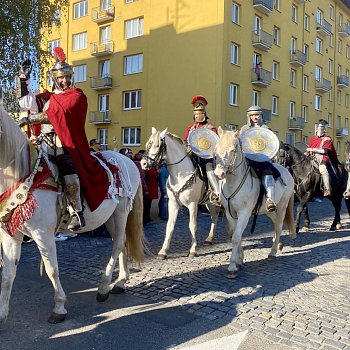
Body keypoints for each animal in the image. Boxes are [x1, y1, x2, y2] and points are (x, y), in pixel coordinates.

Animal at [0, 108, 144, 324]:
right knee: (122, 245)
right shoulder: (11, 234)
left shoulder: (43, 234)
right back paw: (120, 283)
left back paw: (104, 287)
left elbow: (52, 269)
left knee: (118, 245)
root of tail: (128, 161)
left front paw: (59, 307)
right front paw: (2, 314)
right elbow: (8, 275)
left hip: (122, 212)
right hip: (110, 217)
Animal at [142, 127, 219, 258]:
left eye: (157, 145)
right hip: (209, 203)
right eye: (148, 144)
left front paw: (193, 250)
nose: (143, 163)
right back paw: (209, 239)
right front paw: (163, 251)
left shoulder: (193, 204)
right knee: (214, 216)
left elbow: (192, 225)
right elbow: (169, 226)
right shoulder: (173, 204)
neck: (180, 174)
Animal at [213, 127, 296, 278]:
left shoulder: (244, 213)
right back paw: (277, 245)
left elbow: (236, 237)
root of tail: (287, 172)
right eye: (216, 150)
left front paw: (232, 266)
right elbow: (236, 235)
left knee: (279, 226)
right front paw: (239, 260)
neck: (233, 182)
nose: (218, 173)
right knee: (275, 224)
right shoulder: (230, 213)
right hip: (270, 211)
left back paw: (273, 252)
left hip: (282, 207)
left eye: (233, 150)